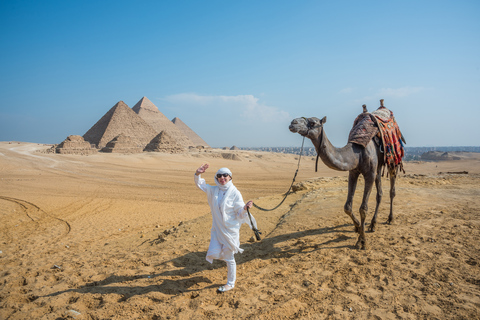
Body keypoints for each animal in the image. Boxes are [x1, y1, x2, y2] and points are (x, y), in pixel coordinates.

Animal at [288, 101, 404, 249]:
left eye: (313, 122)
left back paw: (390, 218)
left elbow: (363, 208)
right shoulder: (353, 172)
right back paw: (373, 224)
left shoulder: (369, 174)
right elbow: (347, 207)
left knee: (391, 190)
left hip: (393, 160)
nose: (293, 122)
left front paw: (362, 241)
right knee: (380, 193)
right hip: (378, 166)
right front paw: (358, 227)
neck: (357, 152)